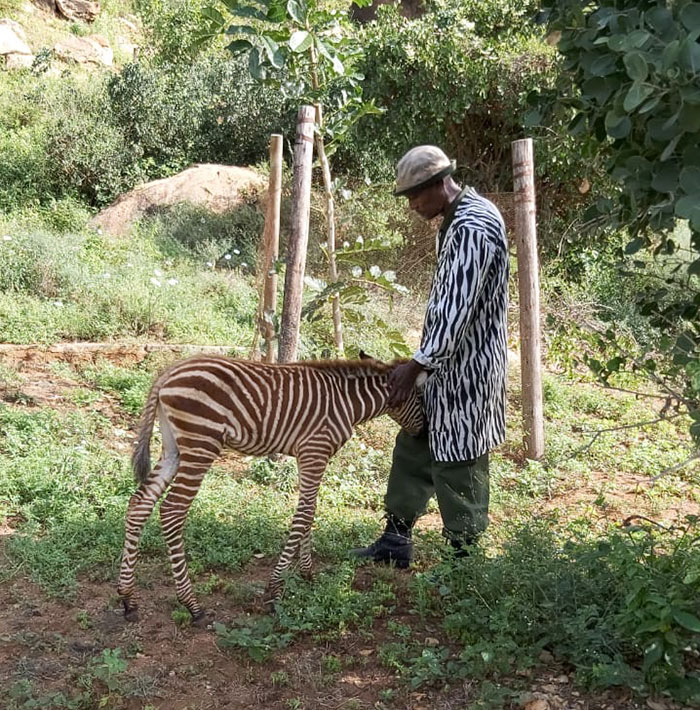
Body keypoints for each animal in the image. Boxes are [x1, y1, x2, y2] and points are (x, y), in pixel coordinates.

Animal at [117, 354, 424, 624]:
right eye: (422, 398)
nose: (422, 433)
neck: (348, 402)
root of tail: (169, 372)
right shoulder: (315, 451)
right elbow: (303, 515)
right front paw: (276, 589)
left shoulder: (308, 455)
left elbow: (310, 511)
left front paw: (306, 574)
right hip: (201, 443)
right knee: (172, 511)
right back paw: (192, 606)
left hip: (174, 447)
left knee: (139, 503)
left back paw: (128, 599)